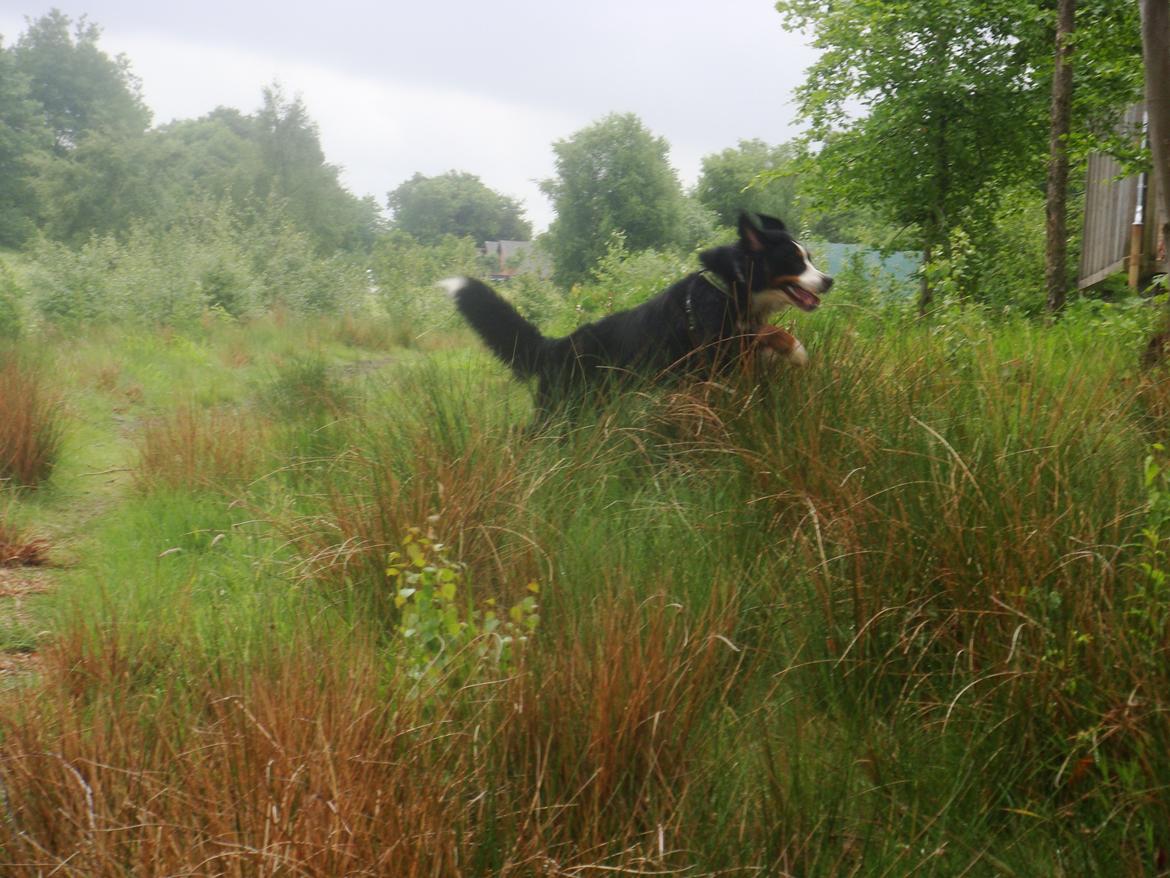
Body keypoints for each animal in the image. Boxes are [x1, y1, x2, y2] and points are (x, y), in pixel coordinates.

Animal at [439, 215, 833, 416]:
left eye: (809, 258)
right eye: (795, 261)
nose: (829, 280)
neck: (727, 285)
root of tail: (559, 345)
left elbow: (762, 333)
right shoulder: (714, 345)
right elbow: (766, 332)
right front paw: (796, 349)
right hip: (562, 409)